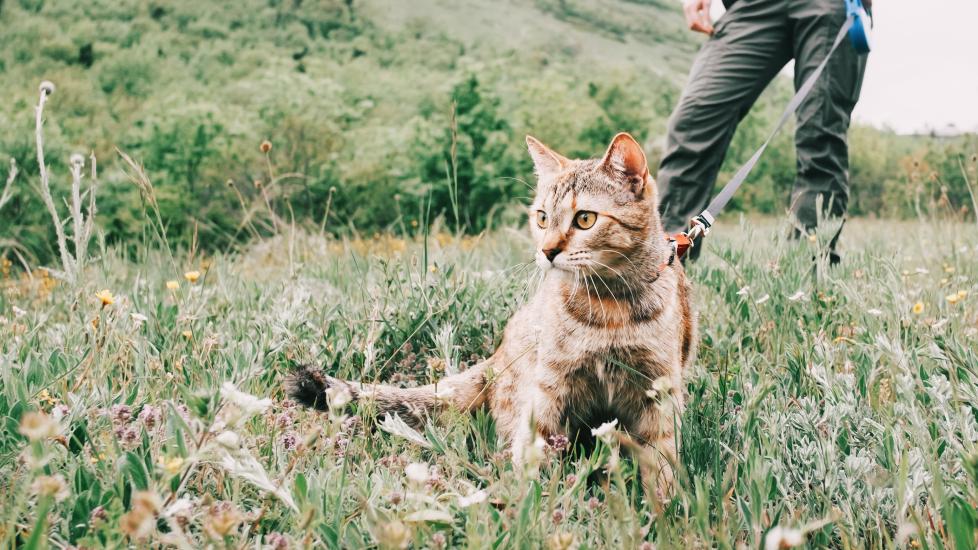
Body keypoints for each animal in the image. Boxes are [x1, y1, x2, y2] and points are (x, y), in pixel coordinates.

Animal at [286, 134, 696, 496]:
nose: (546, 251)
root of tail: (496, 359)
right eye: (542, 218)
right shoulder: (549, 389)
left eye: (584, 219)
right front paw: (526, 506)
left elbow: (662, 464)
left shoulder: (659, 394)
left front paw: (667, 510)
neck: (609, 308)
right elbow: (532, 454)